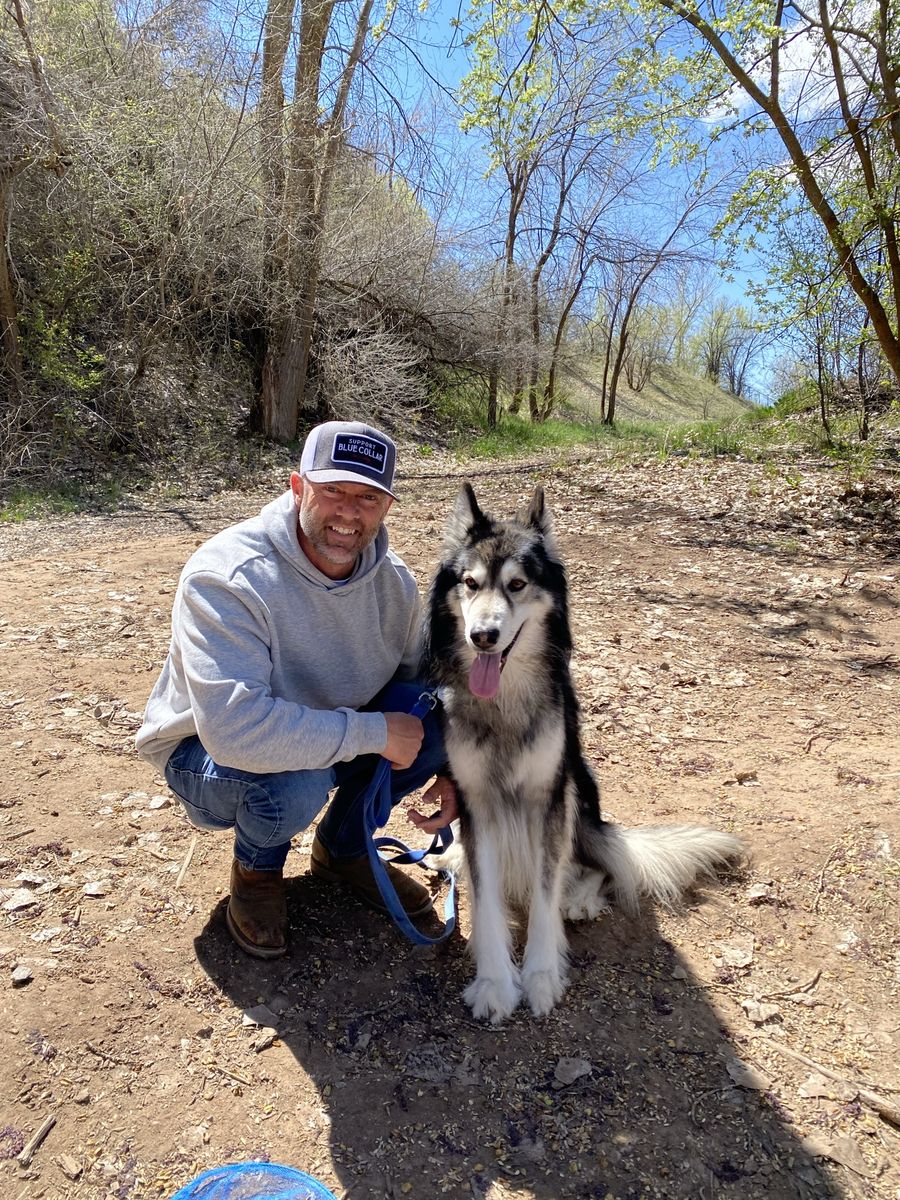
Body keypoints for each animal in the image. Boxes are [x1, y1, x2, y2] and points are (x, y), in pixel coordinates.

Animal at [423, 482, 744, 1023]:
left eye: (516, 584)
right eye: (470, 583)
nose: (482, 637)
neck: (505, 700)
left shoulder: (550, 796)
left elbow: (545, 892)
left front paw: (540, 975)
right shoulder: (475, 801)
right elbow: (486, 900)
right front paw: (494, 983)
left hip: (578, 786)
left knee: (600, 863)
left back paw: (580, 897)